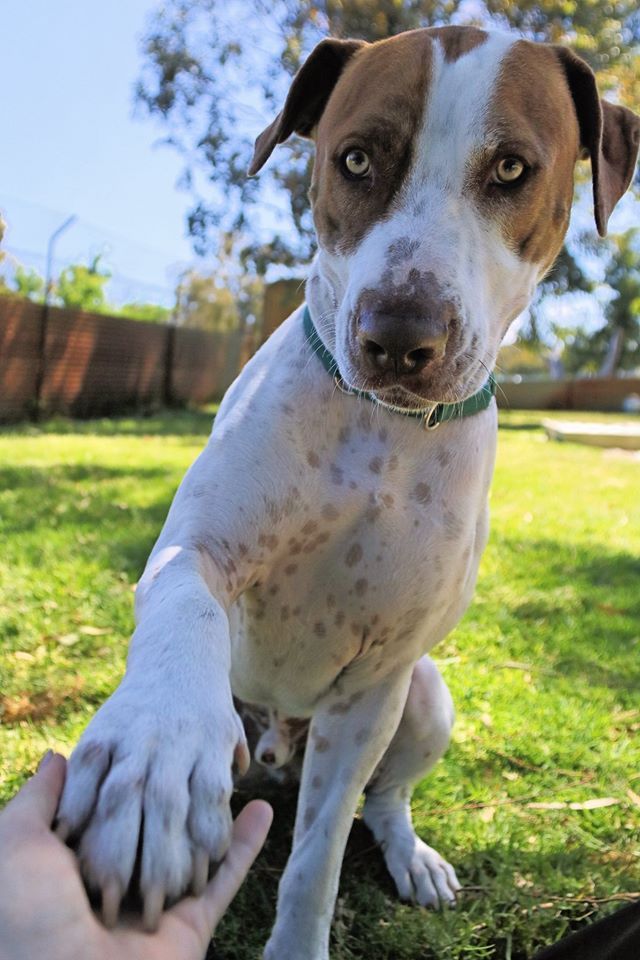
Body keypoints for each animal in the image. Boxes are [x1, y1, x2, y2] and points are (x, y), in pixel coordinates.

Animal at [56, 24, 640, 960]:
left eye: (512, 169)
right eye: (356, 158)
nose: (398, 336)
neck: (383, 436)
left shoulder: (374, 688)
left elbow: (320, 850)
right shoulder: (197, 552)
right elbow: (186, 611)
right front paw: (152, 759)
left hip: (425, 697)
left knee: (382, 800)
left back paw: (413, 857)